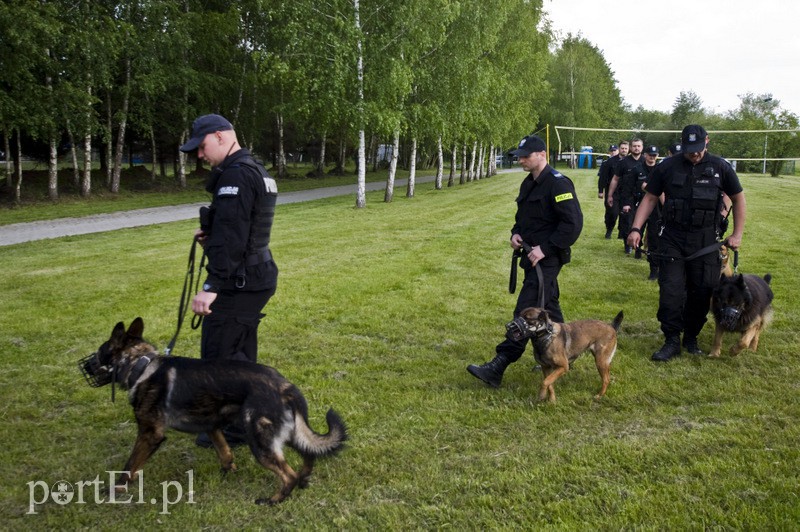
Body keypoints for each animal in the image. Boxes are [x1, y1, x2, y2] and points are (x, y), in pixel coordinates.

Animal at [79, 318, 350, 504]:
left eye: (100, 352)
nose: (85, 367)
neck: (140, 365)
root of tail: (285, 386)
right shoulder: (212, 427)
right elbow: (224, 451)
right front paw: (228, 470)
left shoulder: (150, 434)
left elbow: (130, 464)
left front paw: (116, 489)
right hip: (286, 433)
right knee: (309, 454)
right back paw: (304, 481)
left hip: (260, 441)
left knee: (288, 474)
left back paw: (273, 500)